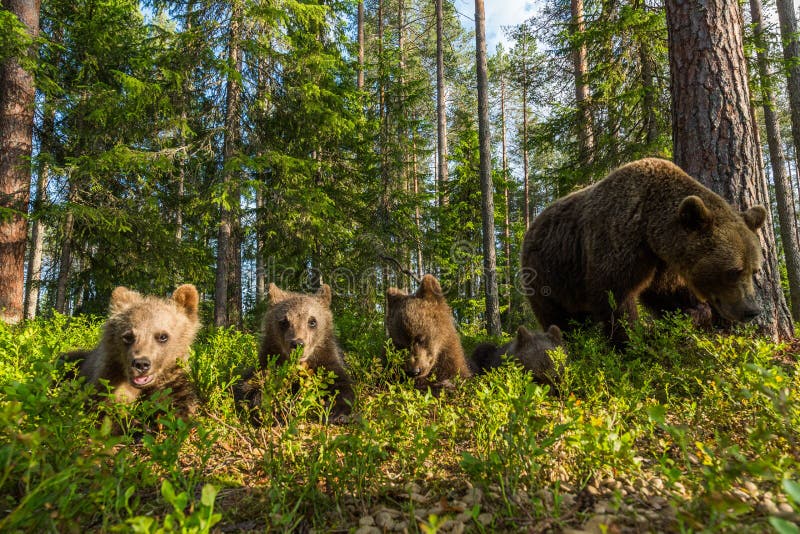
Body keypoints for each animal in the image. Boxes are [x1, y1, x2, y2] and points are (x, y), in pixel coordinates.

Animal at [234, 282, 354, 426]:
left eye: (312, 321)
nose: (297, 344)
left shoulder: (326, 360)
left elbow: (341, 384)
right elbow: (249, 387)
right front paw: (278, 411)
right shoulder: (267, 363)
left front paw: (336, 412)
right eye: (284, 321)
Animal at [520, 159, 764, 344]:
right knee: (558, 317)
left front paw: (695, 312)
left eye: (754, 270)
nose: (752, 310)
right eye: (733, 271)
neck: (649, 227)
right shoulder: (617, 240)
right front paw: (629, 340)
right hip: (548, 276)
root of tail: (532, 226)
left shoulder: (661, 262)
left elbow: (667, 293)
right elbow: (613, 296)